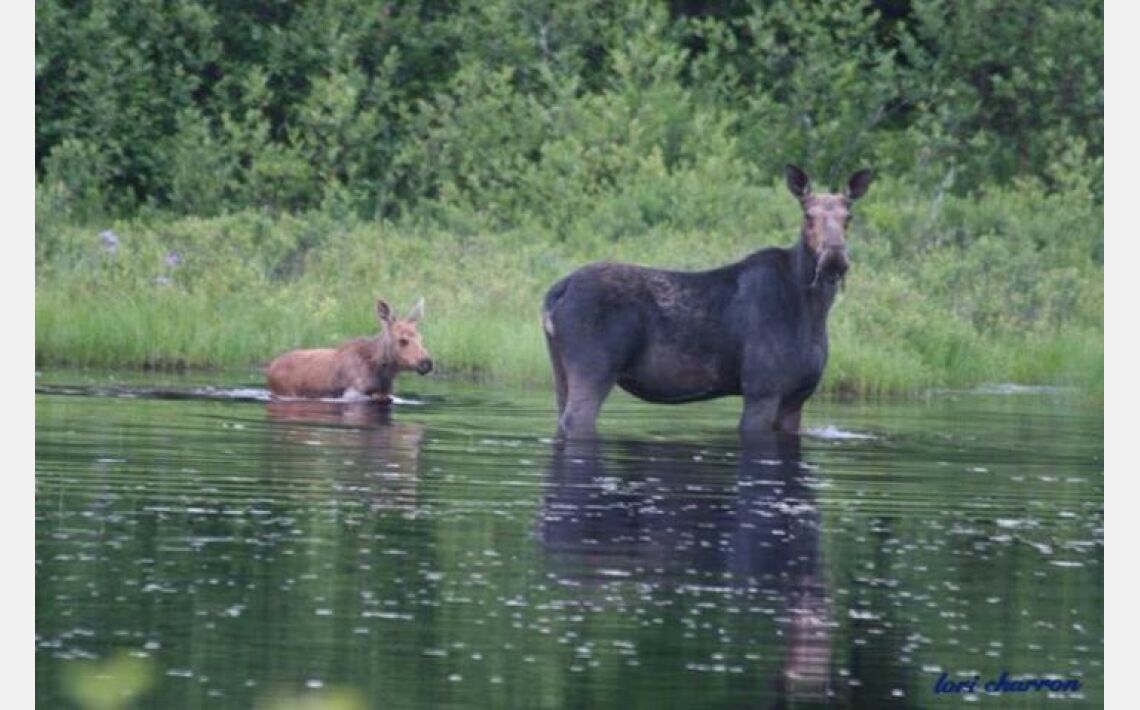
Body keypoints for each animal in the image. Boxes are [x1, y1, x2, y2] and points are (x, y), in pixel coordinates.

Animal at [264, 296, 433, 403]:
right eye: (402, 340)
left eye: (421, 338)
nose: (426, 362)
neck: (382, 371)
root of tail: (270, 367)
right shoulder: (352, 392)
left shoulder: (386, 393)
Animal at [542, 165, 870, 439]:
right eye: (807, 215)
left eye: (849, 218)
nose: (835, 258)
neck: (813, 311)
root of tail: (556, 293)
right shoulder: (762, 390)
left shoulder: (796, 398)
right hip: (594, 368)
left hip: (560, 368)